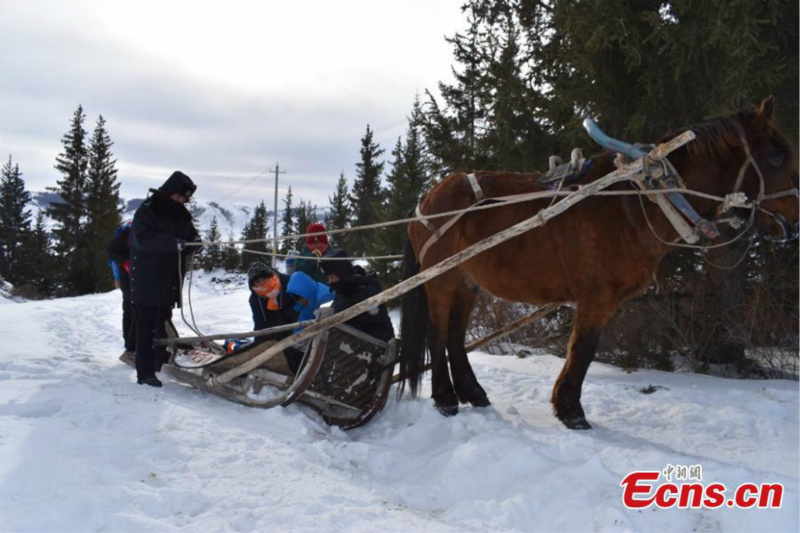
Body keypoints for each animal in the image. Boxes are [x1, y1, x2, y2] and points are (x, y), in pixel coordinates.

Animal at [400, 96, 800, 428]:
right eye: (776, 158)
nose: (793, 223)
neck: (640, 200)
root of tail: (426, 199)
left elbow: (583, 350)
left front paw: (566, 405)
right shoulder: (597, 296)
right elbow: (583, 349)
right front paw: (571, 410)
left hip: (467, 284)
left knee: (455, 337)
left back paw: (473, 393)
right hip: (441, 280)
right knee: (438, 335)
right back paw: (446, 398)